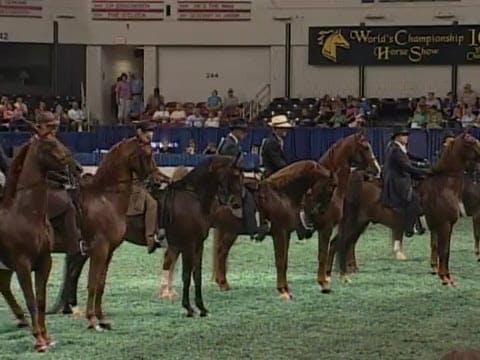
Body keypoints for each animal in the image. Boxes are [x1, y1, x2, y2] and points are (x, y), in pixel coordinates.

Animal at [0, 136, 78, 352]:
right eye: (50, 144)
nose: (76, 168)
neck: (24, 214)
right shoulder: (22, 265)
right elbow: (31, 300)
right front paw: (38, 341)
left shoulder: (44, 262)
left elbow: (40, 300)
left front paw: (46, 336)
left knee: (4, 286)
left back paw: (21, 319)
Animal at [336, 133, 480, 286]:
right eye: (471, 143)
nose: (477, 169)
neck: (443, 186)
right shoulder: (445, 225)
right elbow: (445, 250)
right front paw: (446, 278)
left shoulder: (437, 226)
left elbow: (436, 247)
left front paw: (439, 272)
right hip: (353, 222)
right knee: (343, 242)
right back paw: (343, 273)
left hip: (361, 223)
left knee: (349, 243)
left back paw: (350, 269)